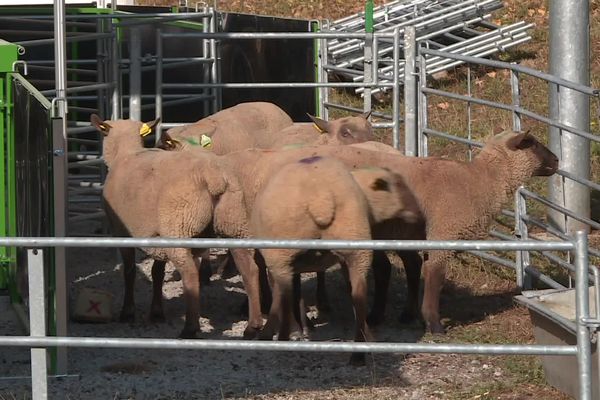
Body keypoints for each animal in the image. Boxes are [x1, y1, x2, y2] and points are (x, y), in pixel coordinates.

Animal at [92, 114, 264, 340]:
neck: (126, 154)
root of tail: (213, 177)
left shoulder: (121, 233)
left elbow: (129, 272)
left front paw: (128, 312)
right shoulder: (157, 234)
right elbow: (157, 272)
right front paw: (156, 312)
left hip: (179, 227)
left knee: (190, 274)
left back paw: (190, 328)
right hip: (234, 226)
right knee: (249, 270)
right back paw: (252, 327)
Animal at [250, 157, 422, 366]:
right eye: (399, 185)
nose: (420, 215)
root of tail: (321, 198)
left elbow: (290, 294)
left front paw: (295, 329)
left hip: (282, 253)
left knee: (284, 294)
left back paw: (283, 338)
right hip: (354, 244)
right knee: (358, 295)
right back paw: (360, 351)